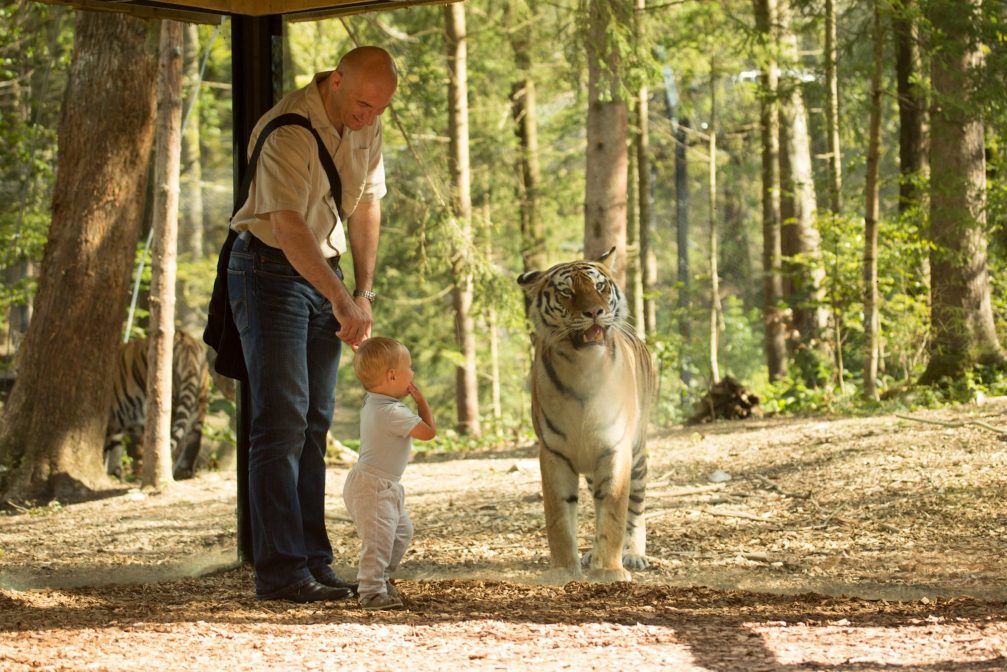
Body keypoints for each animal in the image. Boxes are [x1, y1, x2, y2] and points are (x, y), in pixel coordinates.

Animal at [103, 330, 209, 477]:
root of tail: (187, 342)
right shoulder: (115, 424)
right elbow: (115, 448)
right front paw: (114, 473)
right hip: (199, 404)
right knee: (194, 438)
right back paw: (183, 472)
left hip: (171, 404)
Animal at [515, 246, 656, 584]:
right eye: (567, 292)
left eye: (600, 287)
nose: (594, 311)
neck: (582, 368)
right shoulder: (553, 452)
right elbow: (559, 518)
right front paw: (565, 570)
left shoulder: (615, 449)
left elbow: (615, 513)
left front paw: (610, 571)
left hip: (638, 455)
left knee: (636, 508)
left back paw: (634, 555)